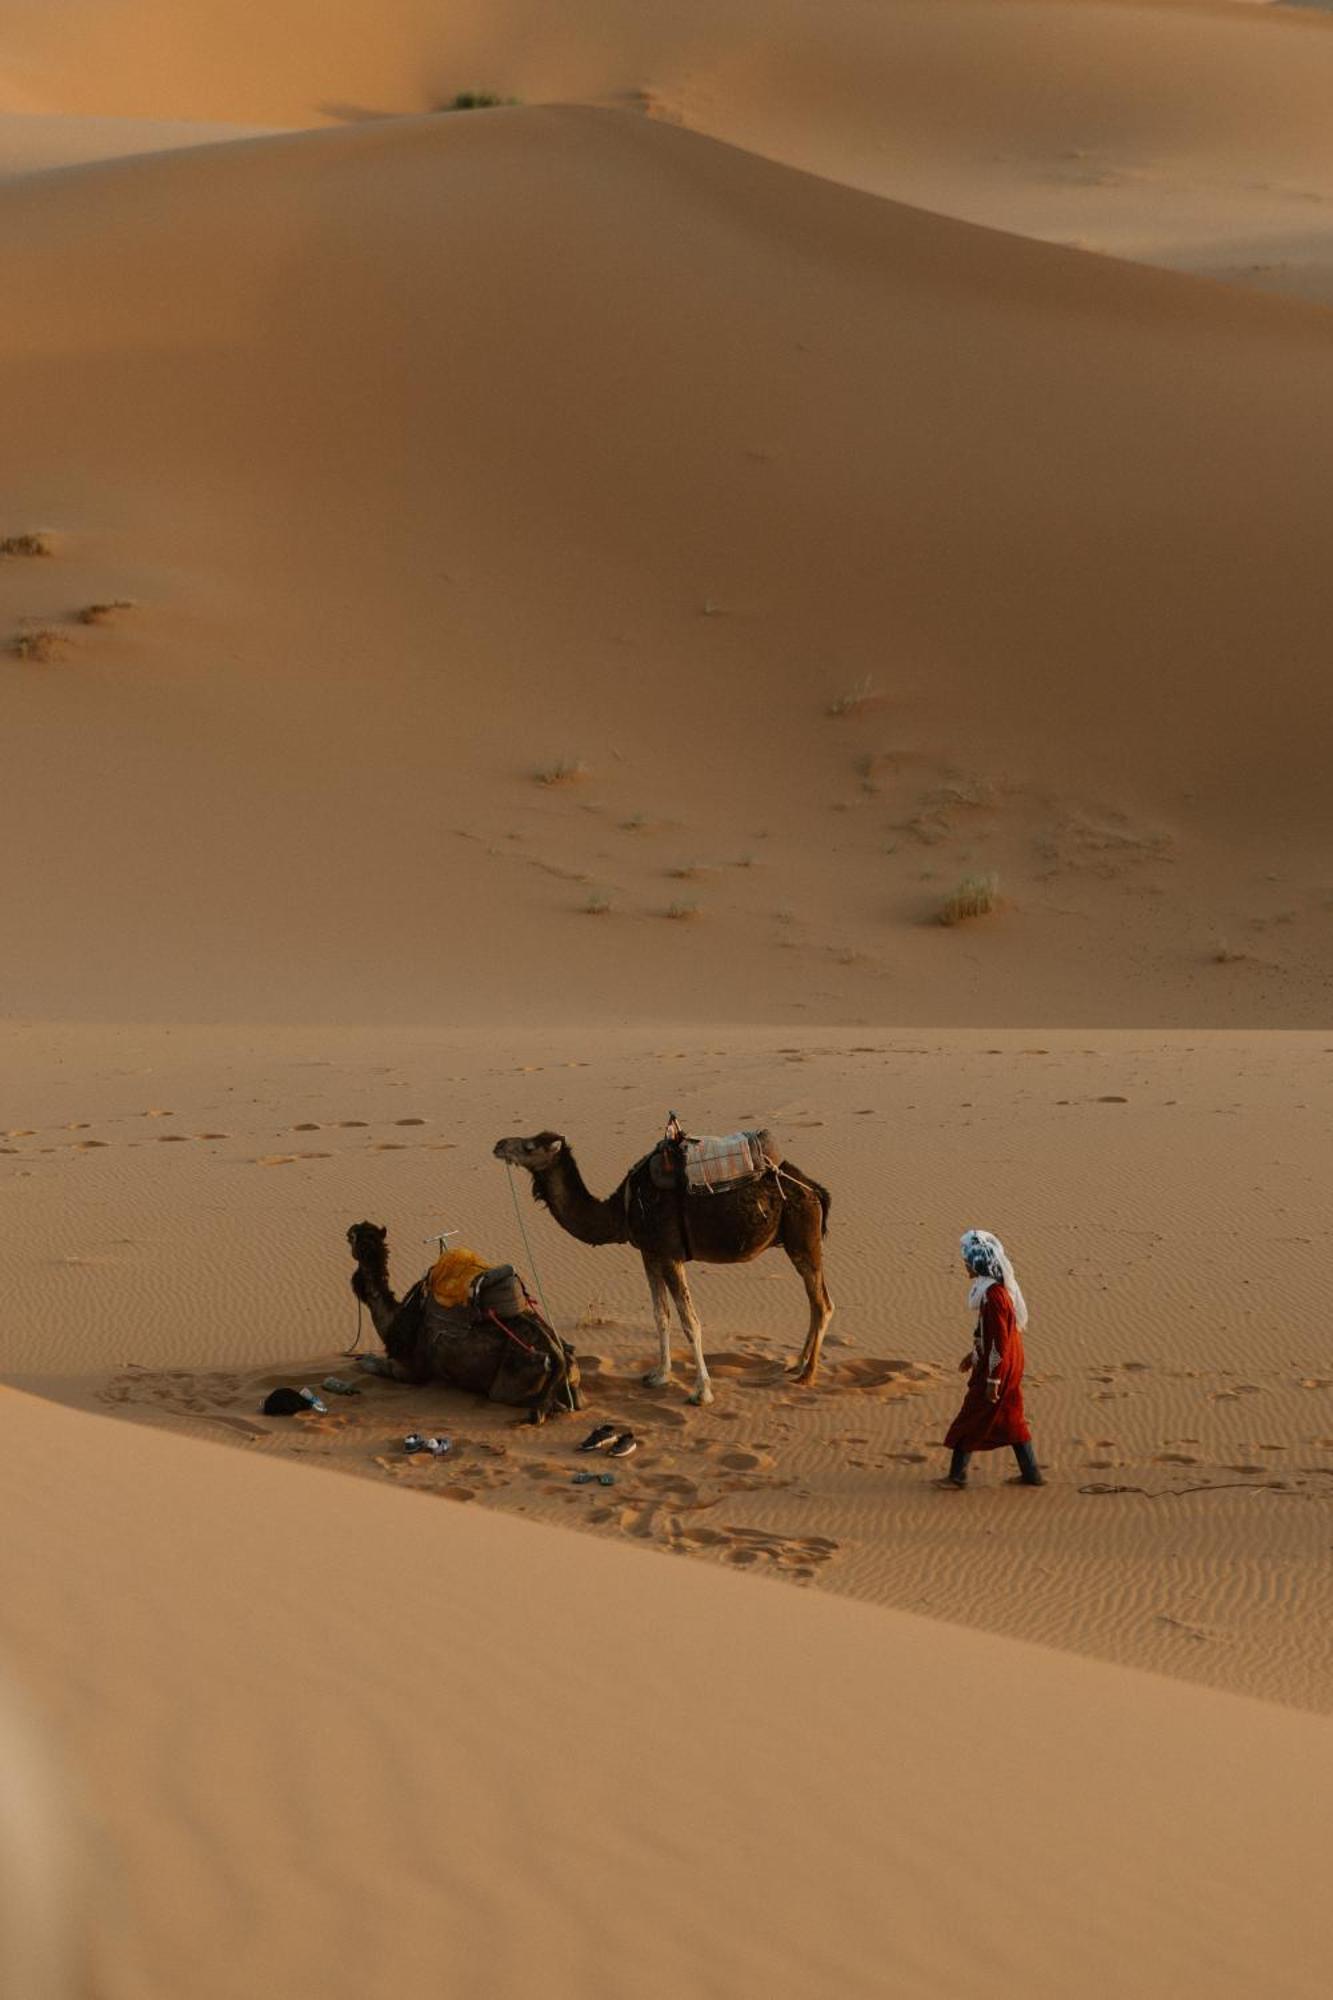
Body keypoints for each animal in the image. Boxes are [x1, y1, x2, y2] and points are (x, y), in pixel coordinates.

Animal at [486, 1128, 832, 1408]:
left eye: (530, 1146)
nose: (499, 1144)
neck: (622, 1208)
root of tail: (814, 1189)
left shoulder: (669, 1254)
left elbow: (690, 1321)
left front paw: (701, 1393)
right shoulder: (650, 1254)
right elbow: (660, 1315)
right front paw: (659, 1375)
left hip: (803, 1239)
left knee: (822, 1305)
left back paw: (808, 1375)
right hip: (799, 1241)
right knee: (816, 1303)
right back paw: (797, 1365)